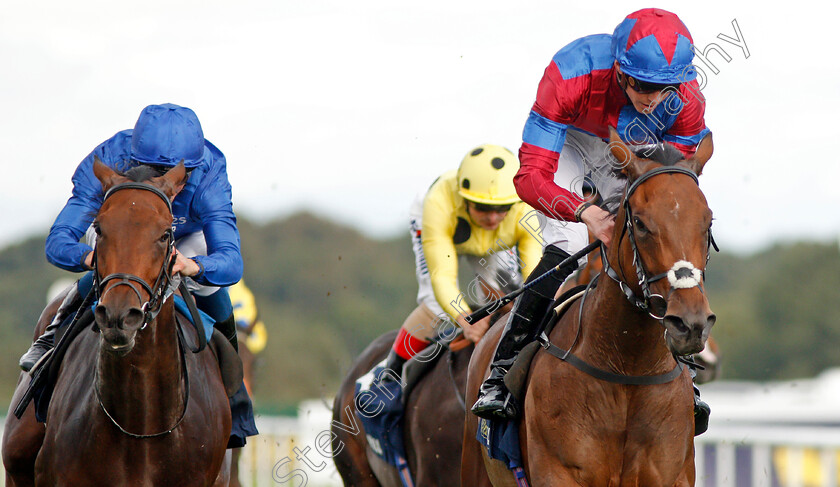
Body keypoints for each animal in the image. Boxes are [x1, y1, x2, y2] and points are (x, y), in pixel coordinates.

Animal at [462, 131, 712, 487]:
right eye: (640, 223)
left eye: (708, 222)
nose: (690, 324)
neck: (627, 369)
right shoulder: (558, 473)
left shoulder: (672, 474)